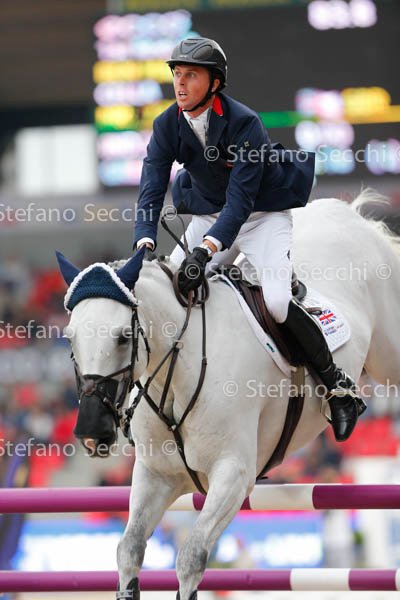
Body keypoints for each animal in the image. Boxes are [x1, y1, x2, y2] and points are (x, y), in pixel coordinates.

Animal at [57, 189, 400, 600]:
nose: (91, 433)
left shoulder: (232, 475)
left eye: (123, 337)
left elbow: (191, 557)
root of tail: (349, 214)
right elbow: (129, 549)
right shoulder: (157, 476)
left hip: (389, 354)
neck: (180, 369)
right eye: (70, 338)